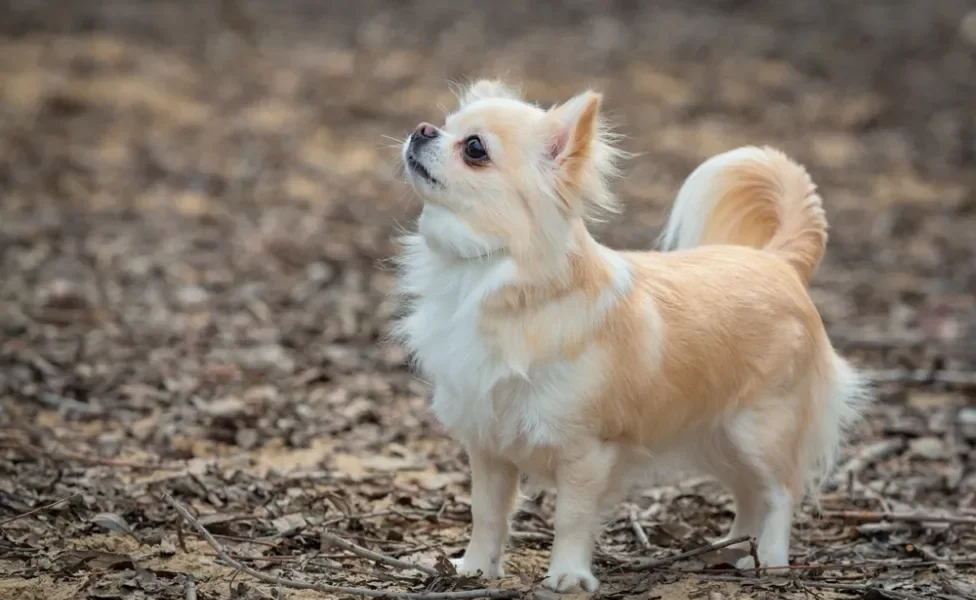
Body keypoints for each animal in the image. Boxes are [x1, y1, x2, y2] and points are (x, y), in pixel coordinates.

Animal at [388, 81, 868, 596]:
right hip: (718, 437)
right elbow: (487, 514)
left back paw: (771, 559)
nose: (422, 129)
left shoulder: (586, 453)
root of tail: (779, 261)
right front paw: (474, 569)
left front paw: (567, 576)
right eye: (444, 123)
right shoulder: (489, 445)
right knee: (748, 492)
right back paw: (733, 547)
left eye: (474, 148)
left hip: (760, 429)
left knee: (780, 491)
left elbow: (571, 519)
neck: (486, 275)